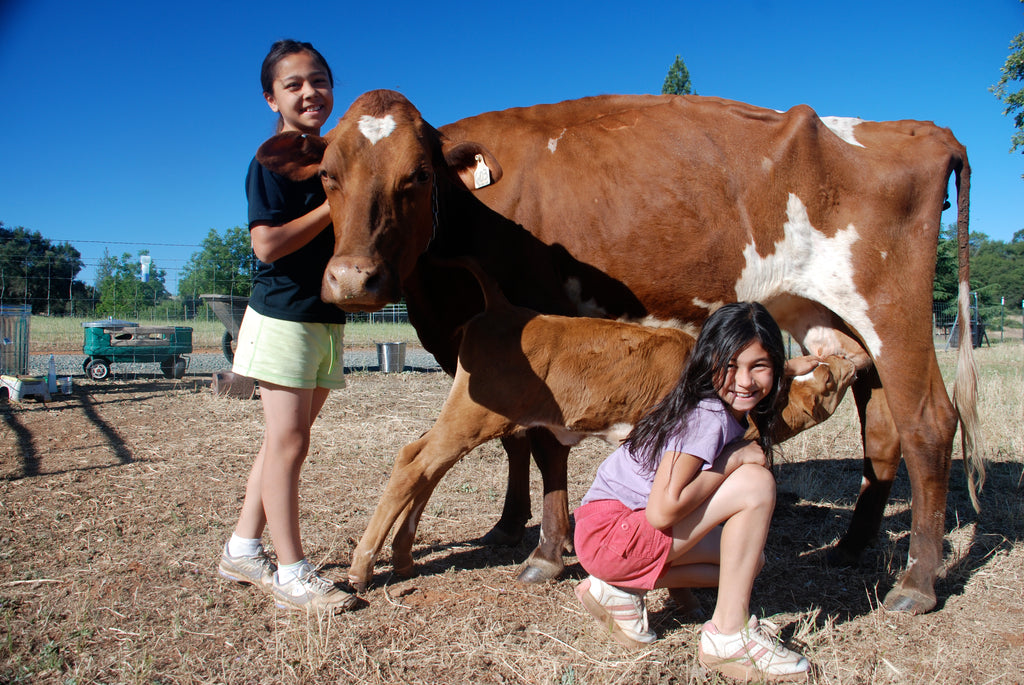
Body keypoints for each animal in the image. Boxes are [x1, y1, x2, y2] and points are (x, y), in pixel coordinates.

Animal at [258, 88, 983, 610]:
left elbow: (541, 444)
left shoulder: (533, 336)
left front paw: (544, 550)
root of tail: (916, 128)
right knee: (882, 429)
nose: (353, 280)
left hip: (895, 314)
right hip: (833, 319)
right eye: (327, 176)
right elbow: (521, 443)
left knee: (927, 424)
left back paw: (916, 582)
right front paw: (513, 529)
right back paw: (853, 546)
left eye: (416, 177)